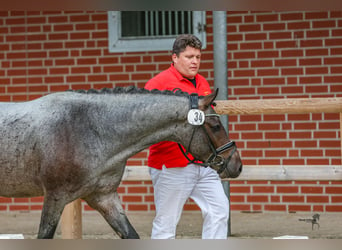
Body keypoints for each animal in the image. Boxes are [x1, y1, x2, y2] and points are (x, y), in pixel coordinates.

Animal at [0, 86, 242, 238]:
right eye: (215, 127)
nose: (236, 164)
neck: (89, 128)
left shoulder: (103, 197)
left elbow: (130, 235)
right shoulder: (55, 197)